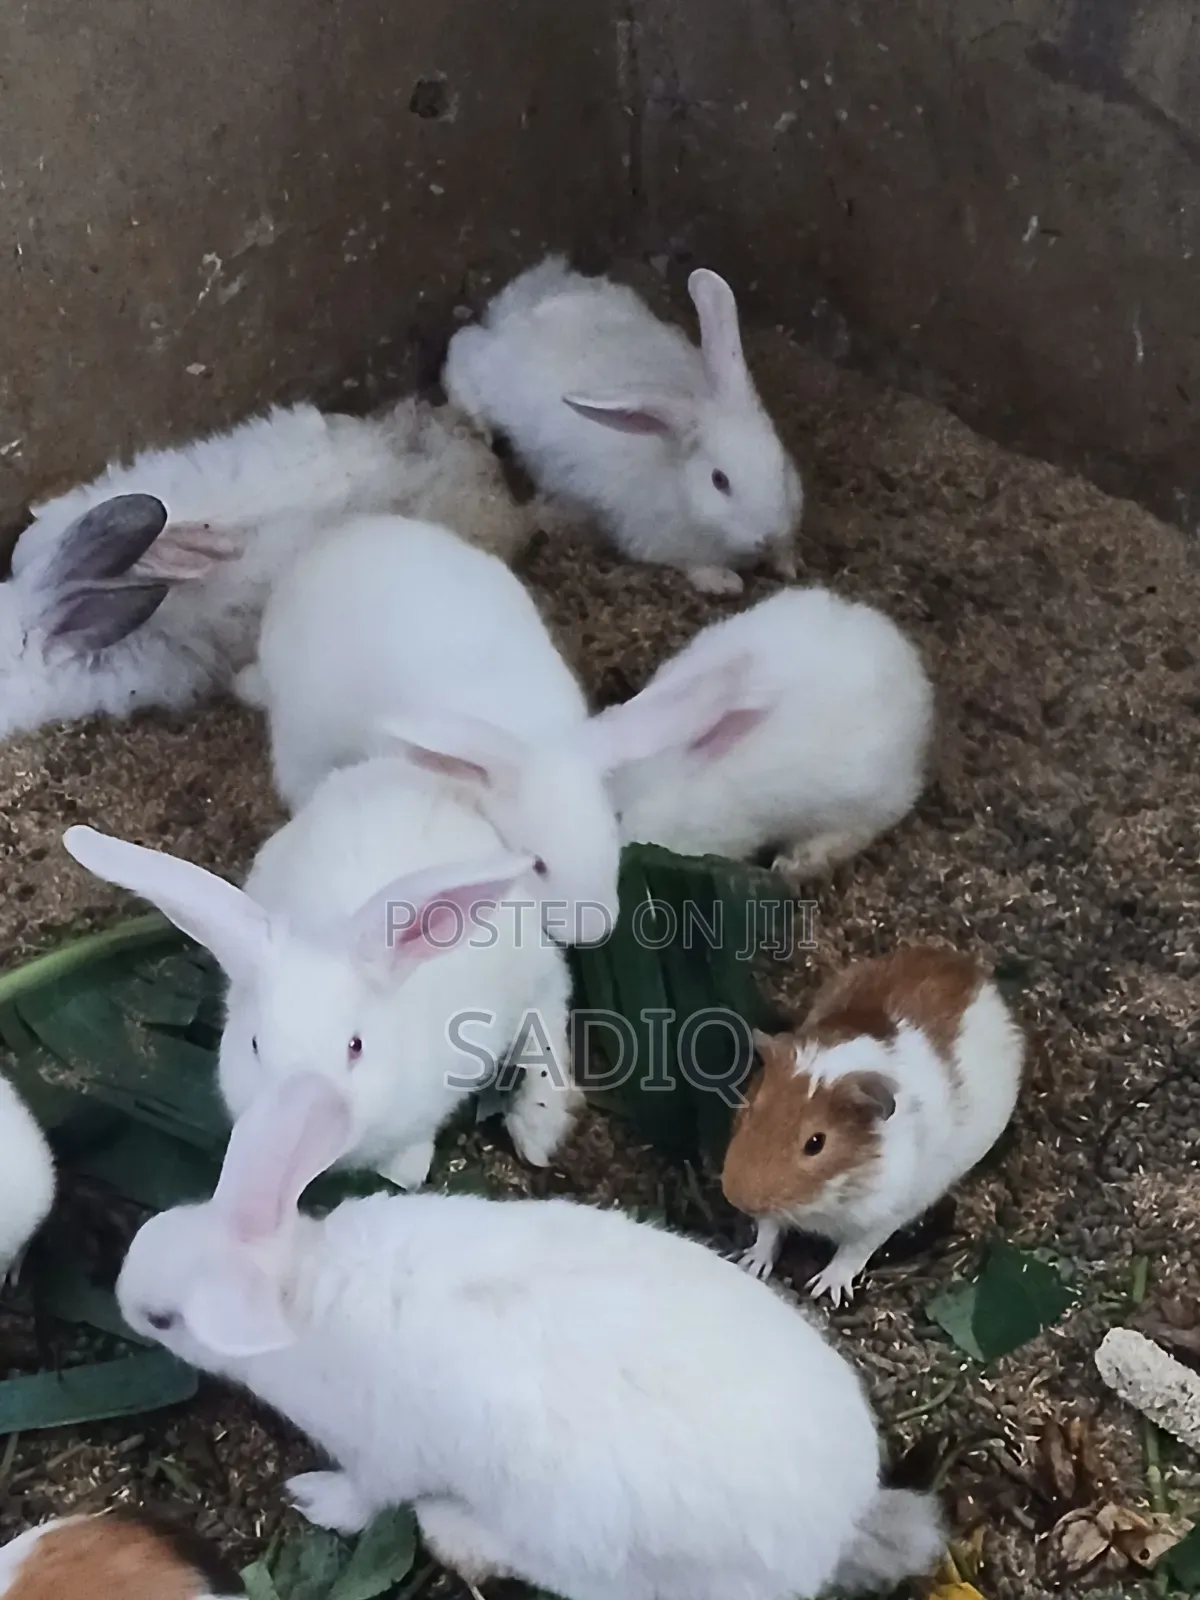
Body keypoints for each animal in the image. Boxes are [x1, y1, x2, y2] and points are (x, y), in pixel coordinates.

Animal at [62, 754, 580, 1190]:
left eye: (355, 1046)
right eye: (254, 1044)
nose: (293, 1141)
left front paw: (406, 1174)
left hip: (533, 966)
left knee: (550, 1013)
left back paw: (537, 1127)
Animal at [115, 1068, 946, 1600]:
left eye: (164, 1319)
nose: (121, 1295)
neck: (307, 1290)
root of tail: (838, 1527)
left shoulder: (379, 1455)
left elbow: (363, 1498)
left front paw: (311, 1498)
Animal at [442, 254, 804, 595]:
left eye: (781, 464)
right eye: (719, 480)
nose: (767, 535)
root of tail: (522, 303)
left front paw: (789, 565)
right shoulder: (657, 541)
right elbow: (692, 565)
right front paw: (724, 582)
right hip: (489, 375)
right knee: (462, 350)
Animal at [722, 945, 1025, 1304]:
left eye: (816, 1142)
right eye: (753, 1106)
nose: (736, 1198)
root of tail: (974, 971)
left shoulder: (881, 1218)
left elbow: (851, 1254)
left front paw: (824, 1290)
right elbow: (769, 1232)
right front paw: (749, 1264)